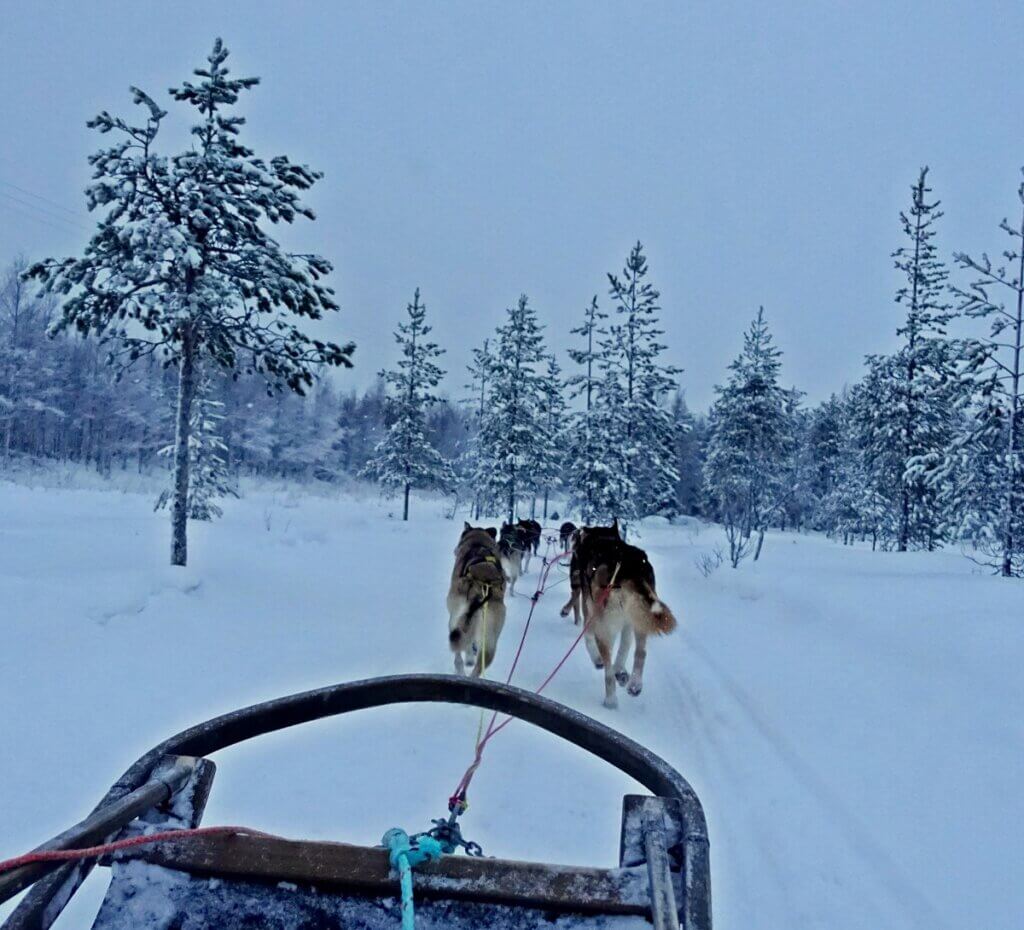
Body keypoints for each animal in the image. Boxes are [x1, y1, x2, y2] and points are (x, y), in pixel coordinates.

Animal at [450, 522, 509, 675]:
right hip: (491, 638)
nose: (455, 550)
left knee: (459, 653)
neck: (478, 542)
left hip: (455, 619)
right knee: (480, 665)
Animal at [561, 520, 671, 708]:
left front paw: (600, 661)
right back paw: (635, 683)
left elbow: (589, 639)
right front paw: (621, 670)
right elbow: (625, 646)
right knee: (641, 651)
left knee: (607, 669)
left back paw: (611, 699)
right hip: (640, 617)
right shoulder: (627, 622)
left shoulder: (590, 614)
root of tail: (626, 565)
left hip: (605, 622)